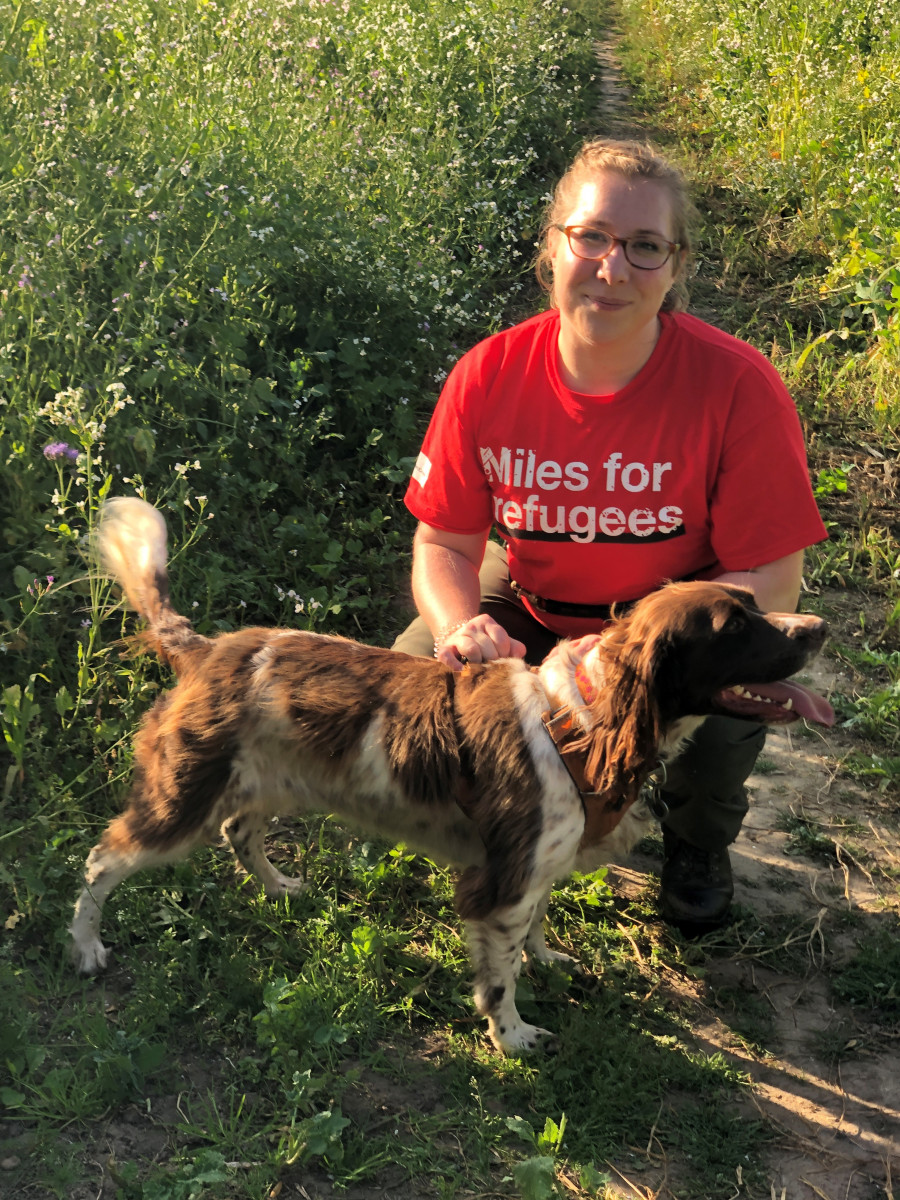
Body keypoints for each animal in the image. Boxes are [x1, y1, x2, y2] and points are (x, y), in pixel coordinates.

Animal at [70, 496, 840, 1051]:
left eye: (754, 607)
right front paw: (514, 1036)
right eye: (732, 627)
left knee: (239, 832)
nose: (817, 628)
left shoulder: (534, 867)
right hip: (183, 798)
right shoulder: (497, 884)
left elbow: (534, 932)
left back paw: (281, 886)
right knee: (102, 860)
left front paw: (549, 959)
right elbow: (500, 975)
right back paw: (87, 947)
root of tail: (206, 649)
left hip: (270, 780)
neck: (582, 723)